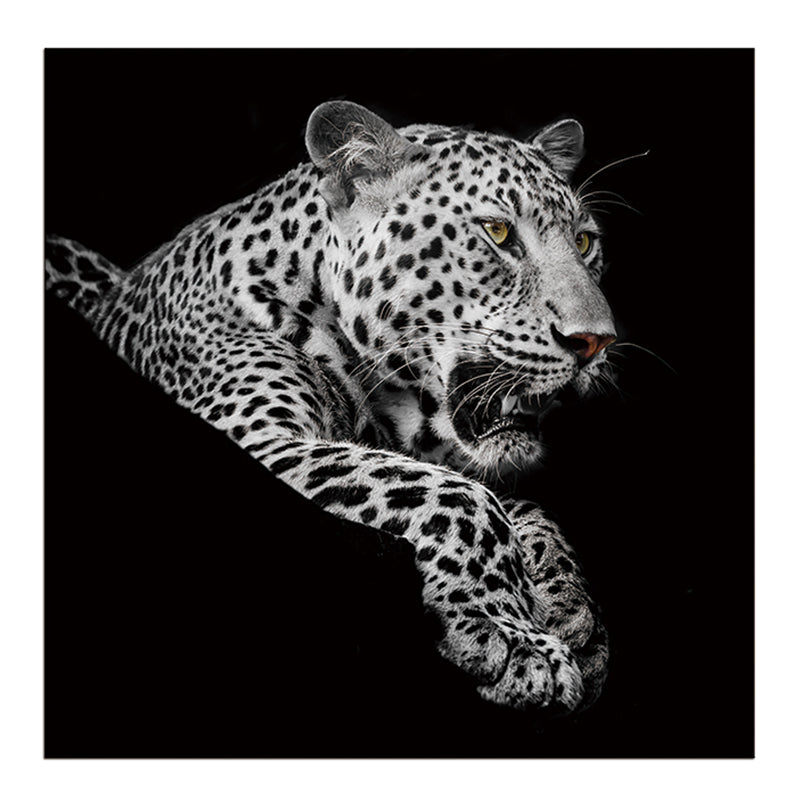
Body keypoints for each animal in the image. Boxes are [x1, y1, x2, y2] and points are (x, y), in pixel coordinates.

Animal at [46, 100, 617, 713]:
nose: (596, 341)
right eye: (498, 232)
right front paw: (516, 638)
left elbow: (522, 506)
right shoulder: (257, 439)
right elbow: (461, 495)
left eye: (585, 243)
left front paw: (569, 607)